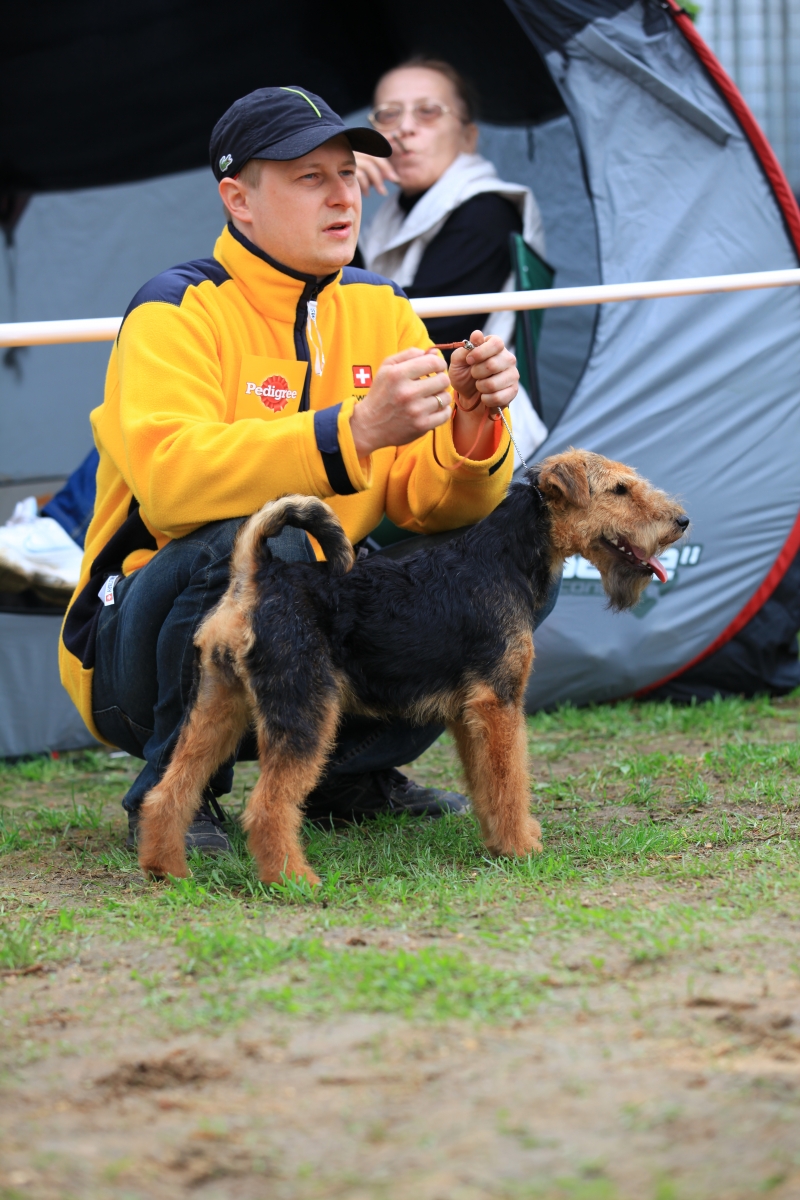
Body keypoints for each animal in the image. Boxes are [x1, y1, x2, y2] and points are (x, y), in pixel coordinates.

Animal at [137, 448, 690, 883]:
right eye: (619, 489)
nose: (681, 521)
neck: (503, 559)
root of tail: (255, 577)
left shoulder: (470, 712)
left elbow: (489, 784)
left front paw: (500, 842)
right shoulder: (499, 701)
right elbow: (510, 780)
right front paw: (521, 848)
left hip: (215, 707)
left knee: (168, 790)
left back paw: (167, 869)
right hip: (304, 713)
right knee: (267, 807)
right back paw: (294, 880)